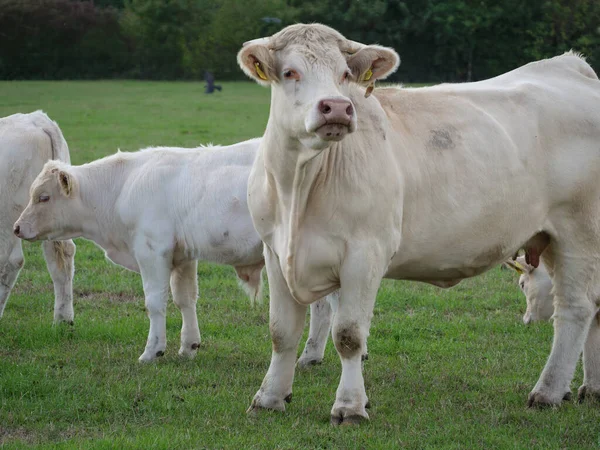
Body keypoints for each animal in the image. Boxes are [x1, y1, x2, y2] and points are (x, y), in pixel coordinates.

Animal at [15, 139, 332, 364]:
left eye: (44, 197)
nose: (16, 228)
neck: (122, 187)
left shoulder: (152, 252)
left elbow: (155, 303)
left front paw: (152, 350)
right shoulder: (182, 257)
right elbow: (185, 299)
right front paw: (189, 346)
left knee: (325, 308)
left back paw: (310, 356)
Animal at [237, 23, 600, 426]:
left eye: (344, 74)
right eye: (290, 72)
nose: (338, 107)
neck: (298, 187)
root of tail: (569, 66)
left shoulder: (365, 253)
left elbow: (348, 335)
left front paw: (349, 406)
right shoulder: (274, 252)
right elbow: (281, 332)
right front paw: (269, 397)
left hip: (579, 230)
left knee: (576, 309)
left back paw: (548, 392)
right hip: (553, 236)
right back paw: (590, 389)